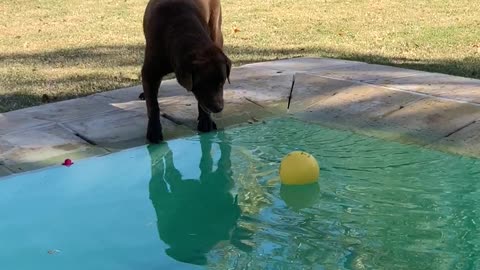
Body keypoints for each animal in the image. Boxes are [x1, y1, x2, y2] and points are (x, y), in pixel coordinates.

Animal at [141, 0, 231, 143]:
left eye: (222, 83)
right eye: (202, 85)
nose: (219, 108)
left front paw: (206, 121)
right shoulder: (150, 73)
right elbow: (153, 105)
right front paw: (154, 131)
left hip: (216, 30)